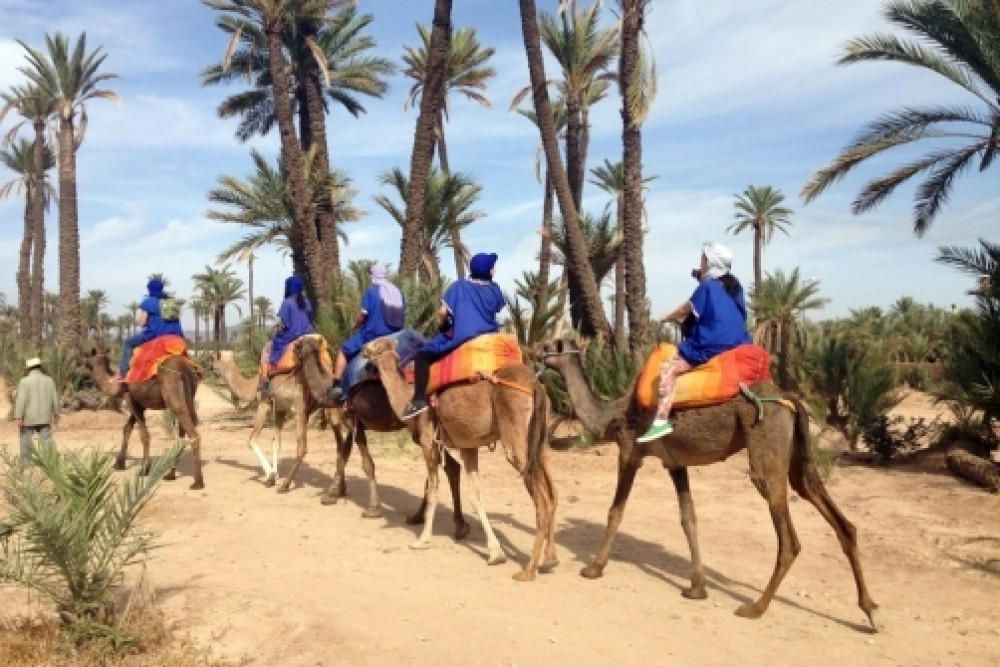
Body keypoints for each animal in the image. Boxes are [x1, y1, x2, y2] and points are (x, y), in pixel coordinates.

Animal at [88, 350, 207, 490]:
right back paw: (170, 475)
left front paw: (144, 470)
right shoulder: (140, 404)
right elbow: (127, 428)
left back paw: (197, 482)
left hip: (173, 397)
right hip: (187, 396)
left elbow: (144, 435)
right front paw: (119, 464)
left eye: (89, 361)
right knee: (183, 434)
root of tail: (185, 366)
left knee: (193, 434)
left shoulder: (130, 399)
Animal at [296, 336, 468, 536]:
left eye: (298, 344)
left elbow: (366, 464)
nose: (293, 348)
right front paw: (333, 494)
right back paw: (448, 523)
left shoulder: (352, 421)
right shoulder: (354, 423)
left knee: (446, 466)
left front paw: (372, 509)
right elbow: (342, 456)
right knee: (449, 467)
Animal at [364, 336, 560, 580]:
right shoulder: (468, 445)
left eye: (375, 345)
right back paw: (550, 559)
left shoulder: (428, 441)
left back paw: (528, 570)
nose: (362, 349)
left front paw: (422, 540)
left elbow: (433, 490)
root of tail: (535, 385)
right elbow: (475, 496)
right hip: (539, 440)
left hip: (516, 435)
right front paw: (495, 553)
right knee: (553, 494)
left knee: (542, 500)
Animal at [536, 342, 880, 628]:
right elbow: (688, 518)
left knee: (788, 538)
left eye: (548, 348)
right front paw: (697, 588)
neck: (612, 414)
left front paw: (593, 568)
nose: (533, 352)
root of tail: (789, 399)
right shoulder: (675, 463)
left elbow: (615, 511)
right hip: (797, 456)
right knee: (836, 517)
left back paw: (755, 608)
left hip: (766, 444)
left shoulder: (630, 452)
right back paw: (870, 610)